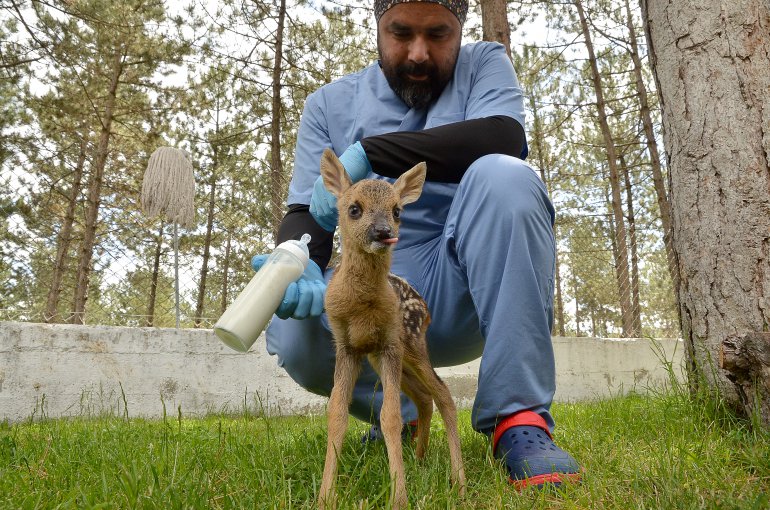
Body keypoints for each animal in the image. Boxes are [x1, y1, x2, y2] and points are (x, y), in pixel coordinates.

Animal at [316, 149, 464, 508]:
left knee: (442, 394)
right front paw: (325, 497)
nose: (384, 231)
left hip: (410, 343)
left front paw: (399, 497)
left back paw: (459, 482)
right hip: (382, 357)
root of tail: (425, 309)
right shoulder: (347, 346)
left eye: (397, 211)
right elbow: (336, 414)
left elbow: (391, 417)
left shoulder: (390, 344)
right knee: (424, 397)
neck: (361, 306)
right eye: (354, 208)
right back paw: (421, 459)